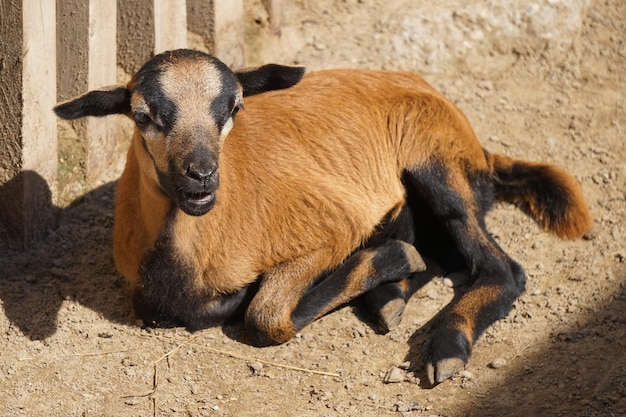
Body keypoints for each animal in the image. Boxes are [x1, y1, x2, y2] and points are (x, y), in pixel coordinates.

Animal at [54, 50, 588, 386]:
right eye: (143, 115)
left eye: (235, 108)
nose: (202, 175)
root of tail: (480, 149)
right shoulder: (145, 292)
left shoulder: (333, 225)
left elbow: (266, 317)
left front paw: (387, 260)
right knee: (440, 251)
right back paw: (389, 299)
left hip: (433, 157)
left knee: (499, 267)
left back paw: (444, 344)